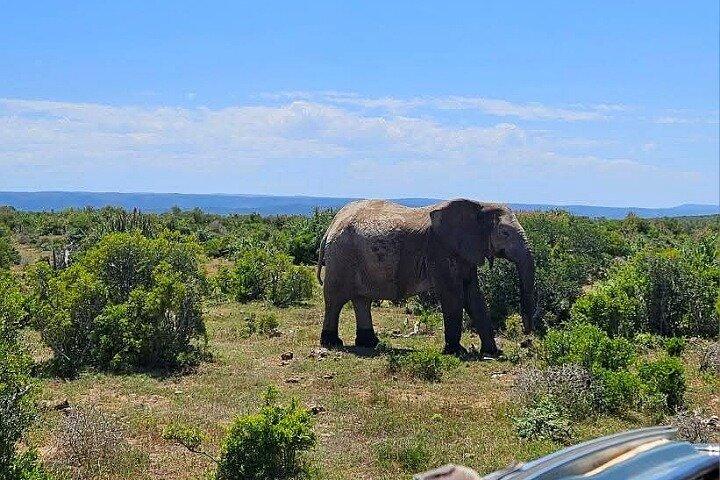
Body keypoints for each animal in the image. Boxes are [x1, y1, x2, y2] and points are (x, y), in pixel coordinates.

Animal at [315, 198, 537, 355]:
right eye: (504, 233)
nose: (526, 336)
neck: (480, 204)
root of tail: (331, 224)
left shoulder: (463, 252)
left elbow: (474, 296)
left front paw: (493, 352)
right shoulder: (440, 250)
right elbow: (453, 295)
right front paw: (456, 351)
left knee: (362, 300)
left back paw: (370, 343)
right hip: (341, 257)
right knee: (335, 300)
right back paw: (332, 342)